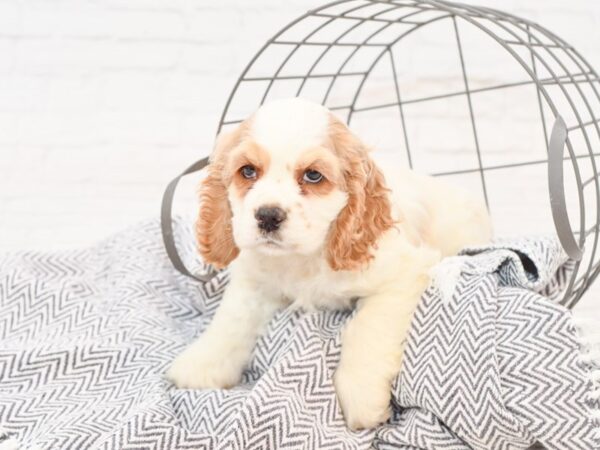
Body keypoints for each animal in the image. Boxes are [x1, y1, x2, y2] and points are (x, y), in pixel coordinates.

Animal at [165, 97, 492, 428]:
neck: (304, 259)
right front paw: (202, 363)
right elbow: (231, 319)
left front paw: (362, 398)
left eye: (313, 175)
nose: (268, 215)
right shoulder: (253, 279)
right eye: (248, 171)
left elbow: (366, 327)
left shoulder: (403, 274)